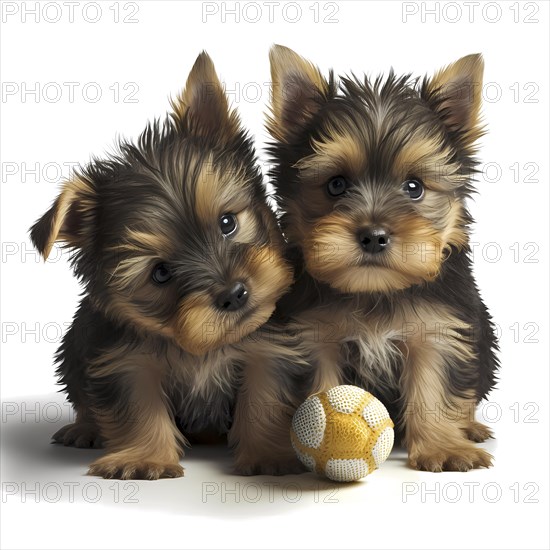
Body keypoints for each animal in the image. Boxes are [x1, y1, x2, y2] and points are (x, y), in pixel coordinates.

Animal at [28, 54, 302, 480]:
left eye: (227, 223)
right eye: (160, 273)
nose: (235, 294)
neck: (197, 344)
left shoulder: (267, 346)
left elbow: (266, 395)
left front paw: (269, 454)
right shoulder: (122, 359)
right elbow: (136, 405)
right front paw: (143, 459)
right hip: (76, 345)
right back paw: (84, 428)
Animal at [270, 45, 502, 472]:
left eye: (414, 187)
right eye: (336, 185)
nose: (374, 236)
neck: (376, 289)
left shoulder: (437, 327)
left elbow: (433, 383)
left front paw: (443, 447)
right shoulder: (311, 333)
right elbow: (318, 382)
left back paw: (470, 427)